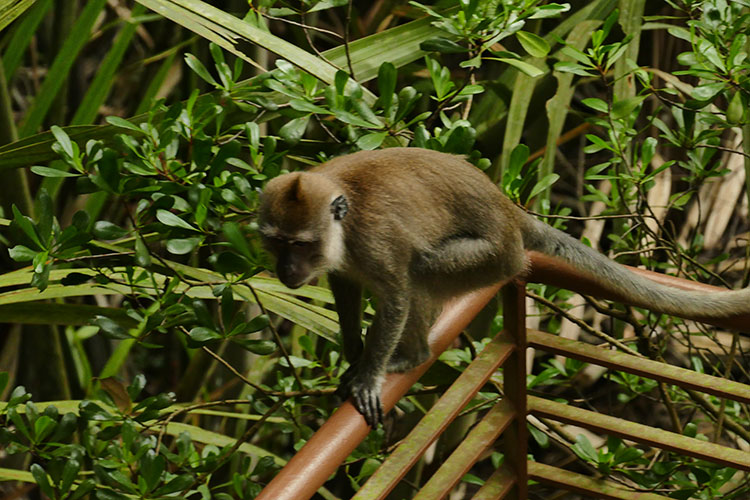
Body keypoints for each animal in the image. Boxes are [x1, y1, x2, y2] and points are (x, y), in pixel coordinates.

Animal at [258, 147, 750, 426]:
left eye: (301, 244)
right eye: (277, 241)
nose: (286, 269)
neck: (343, 223)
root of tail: (511, 213)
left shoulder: (374, 239)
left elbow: (397, 291)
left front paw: (368, 374)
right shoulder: (344, 258)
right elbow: (344, 285)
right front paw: (354, 355)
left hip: (494, 258)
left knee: (420, 271)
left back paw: (412, 355)